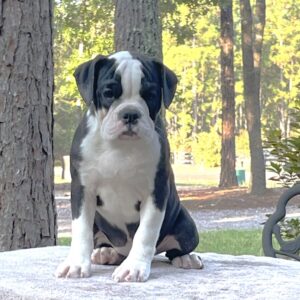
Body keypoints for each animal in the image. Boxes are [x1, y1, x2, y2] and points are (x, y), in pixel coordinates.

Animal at [55, 50, 203, 282]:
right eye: (109, 92)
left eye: (150, 94)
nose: (131, 113)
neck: (120, 146)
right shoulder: (83, 190)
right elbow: (81, 230)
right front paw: (76, 264)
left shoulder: (155, 193)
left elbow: (146, 233)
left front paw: (134, 267)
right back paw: (106, 252)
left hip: (186, 225)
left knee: (175, 248)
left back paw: (186, 258)